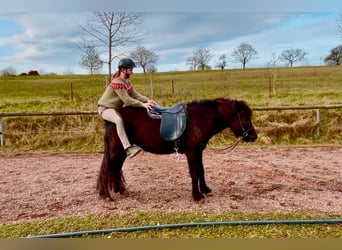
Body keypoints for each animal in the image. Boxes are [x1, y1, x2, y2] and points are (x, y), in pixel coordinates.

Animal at [96, 97, 256, 201]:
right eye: (244, 117)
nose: (254, 136)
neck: (198, 119)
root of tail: (112, 117)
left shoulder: (198, 151)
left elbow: (201, 170)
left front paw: (205, 189)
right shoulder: (192, 152)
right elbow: (194, 172)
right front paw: (197, 196)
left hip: (122, 151)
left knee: (116, 168)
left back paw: (120, 190)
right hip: (116, 151)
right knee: (108, 168)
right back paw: (106, 195)